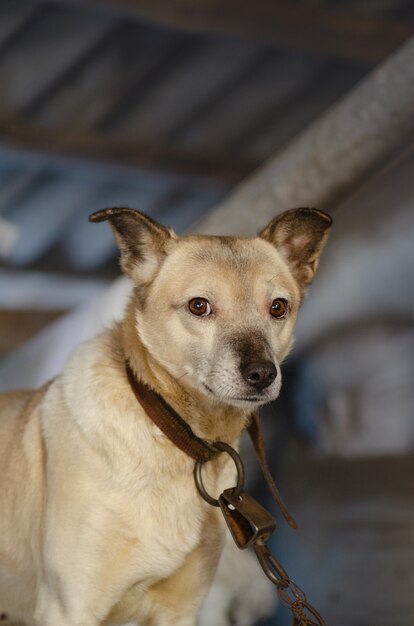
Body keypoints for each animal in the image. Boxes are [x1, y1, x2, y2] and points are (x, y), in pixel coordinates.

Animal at [0, 208, 330, 624]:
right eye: (199, 306)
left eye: (278, 307)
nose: (262, 375)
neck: (171, 434)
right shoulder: (68, 607)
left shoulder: (181, 610)